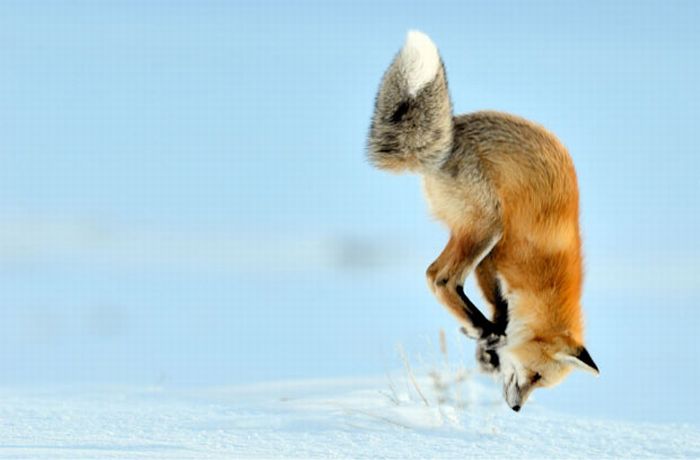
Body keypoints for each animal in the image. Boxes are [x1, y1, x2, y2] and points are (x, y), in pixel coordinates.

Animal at [364, 30, 600, 412]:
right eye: (535, 376)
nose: (517, 409)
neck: (546, 275)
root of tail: (453, 130)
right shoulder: (499, 256)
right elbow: (496, 309)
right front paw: (490, 339)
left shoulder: (491, 267)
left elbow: (499, 309)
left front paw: (490, 351)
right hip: (487, 226)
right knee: (439, 277)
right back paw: (482, 327)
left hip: (473, 230)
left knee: (442, 278)